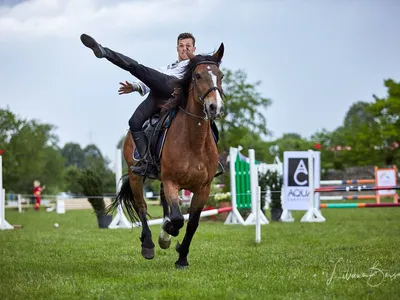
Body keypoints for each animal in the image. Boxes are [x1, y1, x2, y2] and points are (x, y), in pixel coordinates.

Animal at [108, 43, 223, 268]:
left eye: (221, 75)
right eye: (197, 76)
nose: (215, 107)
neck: (194, 142)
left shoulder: (203, 189)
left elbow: (192, 223)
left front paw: (182, 257)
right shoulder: (171, 182)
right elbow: (178, 218)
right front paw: (168, 234)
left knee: (163, 206)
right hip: (136, 176)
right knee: (142, 207)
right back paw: (149, 244)